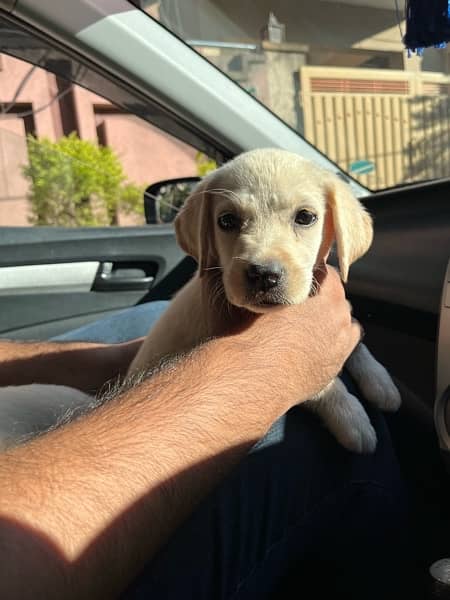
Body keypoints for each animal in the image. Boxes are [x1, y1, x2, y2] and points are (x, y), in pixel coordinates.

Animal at [131, 148, 400, 452]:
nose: (263, 275)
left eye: (305, 217)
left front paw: (380, 379)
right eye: (226, 221)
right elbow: (322, 383)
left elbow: (356, 343)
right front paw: (351, 416)